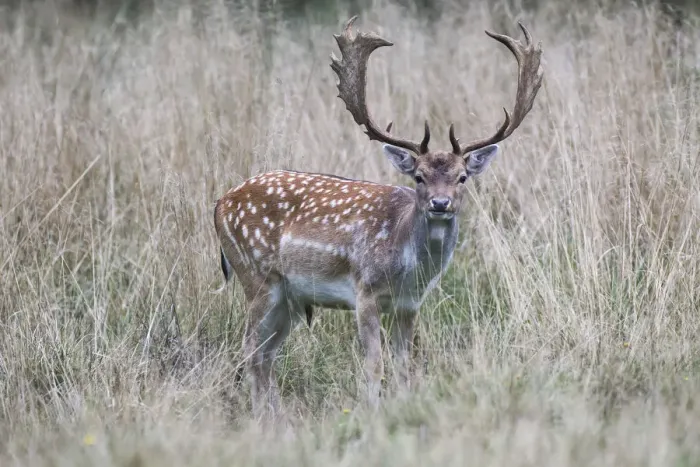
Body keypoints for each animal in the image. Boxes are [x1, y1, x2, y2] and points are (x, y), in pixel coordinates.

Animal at [213, 16, 543, 417]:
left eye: (462, 177)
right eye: (418, 176)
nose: (440, 203)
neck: (406, 267)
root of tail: (220, 202)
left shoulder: (411, 304)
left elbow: (406, 365)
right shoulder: (364, 291)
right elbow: (374, 364)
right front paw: (372, 412)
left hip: (289, 298)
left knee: (267, 354)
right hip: (257, 277)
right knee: (250, 350)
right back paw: (262, 418)